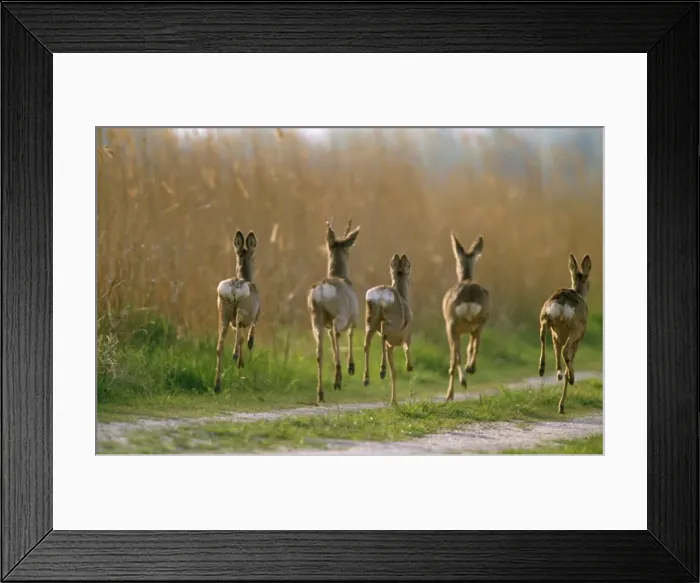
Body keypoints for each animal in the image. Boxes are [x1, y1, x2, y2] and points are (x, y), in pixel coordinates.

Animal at [213, 230, 261, 394]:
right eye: (253, 257)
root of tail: (234, 289)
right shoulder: (257, 314)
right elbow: (249, 332)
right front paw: (250, 343)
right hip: (243, 308)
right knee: (240, 327)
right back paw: (236, 356)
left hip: (223, 313)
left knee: (220, 346)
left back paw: (217, 385)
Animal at [307, 217, 361, 405]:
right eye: (348, 248)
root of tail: (322, 290)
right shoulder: (354, 316)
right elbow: (351, 334)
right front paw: (351, 366)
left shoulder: (328, 324)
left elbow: (331, 339)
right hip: (340, 314)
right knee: (338, 334)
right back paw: (338, 377)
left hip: (316, 318)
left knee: (319, 352)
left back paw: (320, 393)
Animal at [363, 254, 413, 406]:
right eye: (410, 265)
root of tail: (381, 295)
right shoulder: (407, 336)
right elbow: (407, 348)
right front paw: (409, 366)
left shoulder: (392, 346)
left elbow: (394, 373)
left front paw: (394, 402)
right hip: (392, 321)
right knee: (383, 329)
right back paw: (381, 370)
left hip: (369, 319)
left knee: (367, 343)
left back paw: (366, 379)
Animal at [442, 233, 490, 402]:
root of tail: (469, 292)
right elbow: (471, 346)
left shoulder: (449, 326)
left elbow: (452, 359)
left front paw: (449, 395)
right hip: (482, 317)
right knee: (475, 344)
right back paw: (471, 368)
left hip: (452, 323)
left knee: (456, 356)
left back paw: (462, 381)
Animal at [538, 253, 592, 414]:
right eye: (589, 282)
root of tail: (562, 300)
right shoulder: (579, 337)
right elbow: (568, 359)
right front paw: (561, 406)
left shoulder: (557, 336)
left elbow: (556, 352)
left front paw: (559, 374)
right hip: (576, 327)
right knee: (566, 352)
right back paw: (572, 378)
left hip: (545, 315)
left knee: (543, 336)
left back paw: (542, 369)